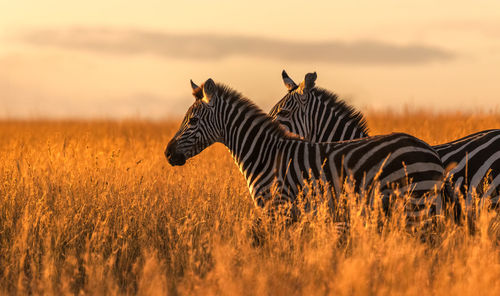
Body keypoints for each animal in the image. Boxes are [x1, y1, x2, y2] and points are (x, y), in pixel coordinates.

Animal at [165, 77, 450, 223]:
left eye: (192, 120)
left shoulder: (278, 209)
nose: (167, 154)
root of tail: (429, 151)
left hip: (415, 205)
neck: (264, 154)